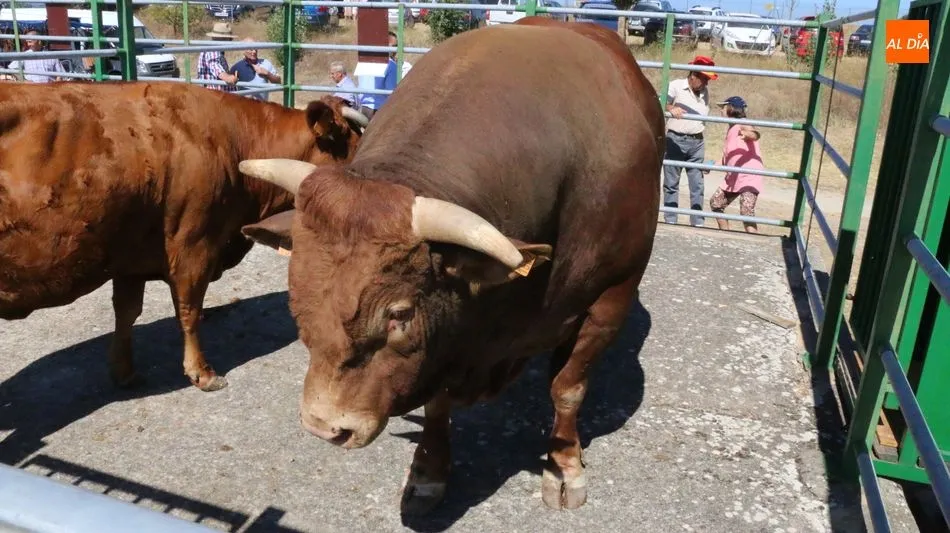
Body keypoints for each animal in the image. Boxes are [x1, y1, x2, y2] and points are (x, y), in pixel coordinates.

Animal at [0, 81, 367, 392]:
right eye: (356, 149)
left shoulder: (131, 259)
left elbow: (127, 312)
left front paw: (124, 372)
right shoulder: (194, 245)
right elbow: (190, 310)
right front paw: (202, 373)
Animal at [237, 17, 665, 513]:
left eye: (400, 313)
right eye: (297, 299)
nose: (325, 426)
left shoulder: (611, 297)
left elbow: (568, 388)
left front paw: (565, 466)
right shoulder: (447, 335)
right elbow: (437, 402)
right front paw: (428, 470)